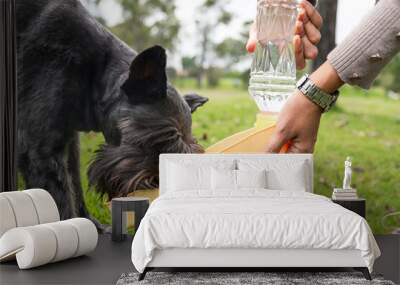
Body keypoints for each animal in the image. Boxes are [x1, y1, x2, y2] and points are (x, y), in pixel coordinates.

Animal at [16, 0, 206, 221]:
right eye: (159, 141)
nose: (157, 185)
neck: (93, 76)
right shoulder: (41, 151)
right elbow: (61, 203)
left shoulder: (68, 143)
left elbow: (75, 186)